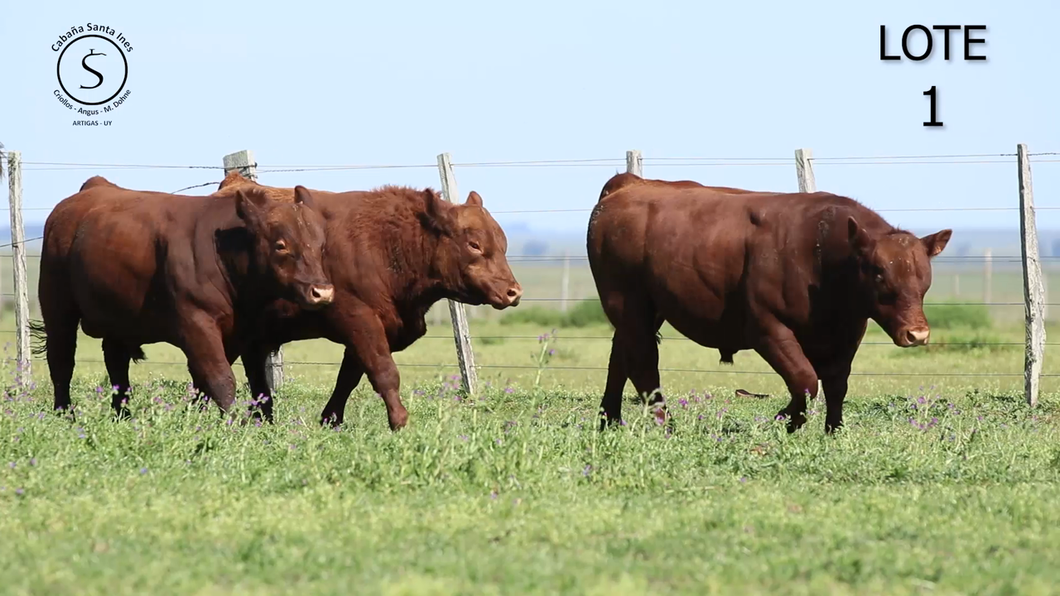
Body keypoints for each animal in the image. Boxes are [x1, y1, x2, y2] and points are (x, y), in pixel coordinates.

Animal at [36, 176, 334, 417]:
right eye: (281, 245)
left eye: (320, 245)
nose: (322, 292)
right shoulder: (197, 322)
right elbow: (221, 379)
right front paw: (230, 426)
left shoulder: (236, 333)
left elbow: (204, 380)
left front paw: (194, 420)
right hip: (57, 306)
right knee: (61, 361)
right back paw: (65, 415)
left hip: (118, 317)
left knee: (116, 362)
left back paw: (123, 416)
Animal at [217, 170, 523, 426]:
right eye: (474, 244)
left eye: (503, 242)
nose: (514, 291)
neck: (383, 244)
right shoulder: (359, 319)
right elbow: (384, 372)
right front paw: (400, 423)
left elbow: (348, 380)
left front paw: (331, 421)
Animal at [589, 171, 953, 430]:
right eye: (879, 272)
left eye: (924, 274)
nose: (917, 333)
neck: (821, 255)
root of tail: (629, 184)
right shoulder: (767, 327)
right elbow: (805, 380)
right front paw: (786, 420)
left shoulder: (848, 333)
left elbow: (836, 384)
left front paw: (833, 431)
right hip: (627, 301)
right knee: (643, 362)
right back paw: (662, 425)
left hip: (644, 309)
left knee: (620, 356)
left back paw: (609, 421)